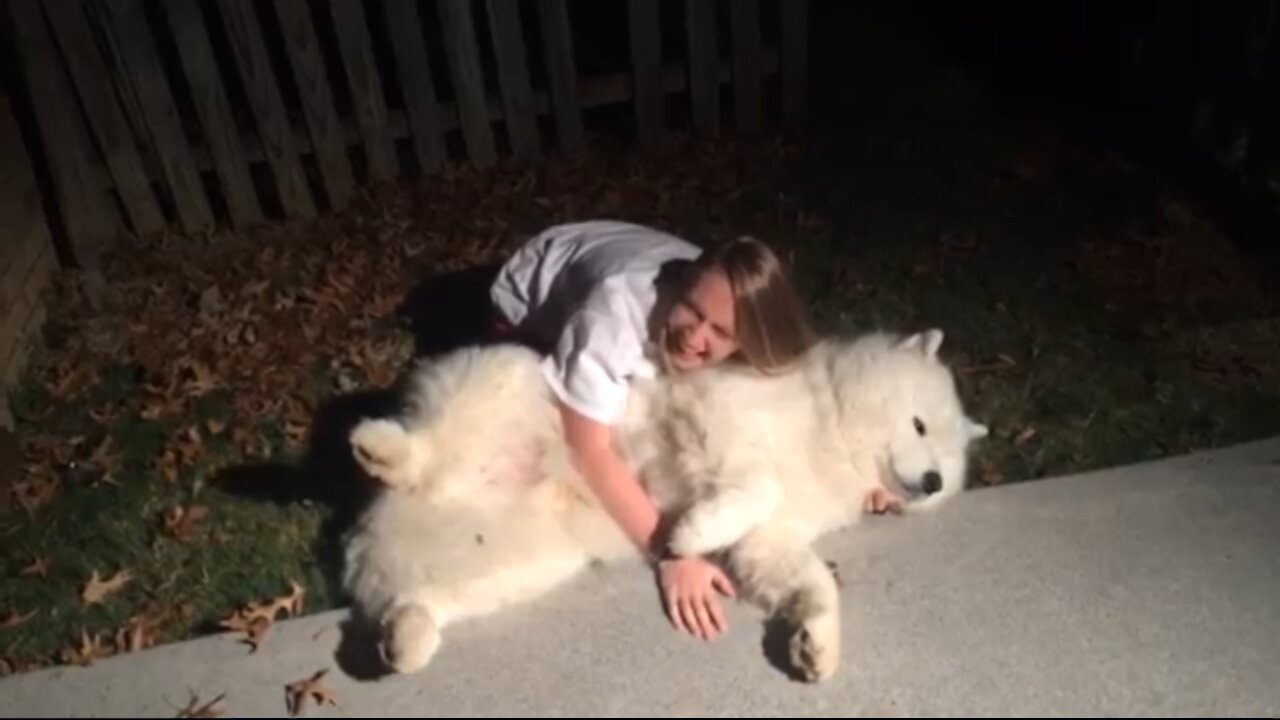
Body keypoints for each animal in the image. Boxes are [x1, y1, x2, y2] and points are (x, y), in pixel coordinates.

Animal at [343, 327, 988, 681]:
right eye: (919, 424)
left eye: (951, 462)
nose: (934, 481)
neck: (826, 425)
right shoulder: (723, 421)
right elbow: (757, 486)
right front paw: (689, 537)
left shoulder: (771, 538)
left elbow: (813, 581)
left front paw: (816, 648)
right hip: (512, 377)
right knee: (425, 444)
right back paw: (380, 449)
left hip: (527, 564)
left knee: (421, 601)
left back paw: (406, 641)